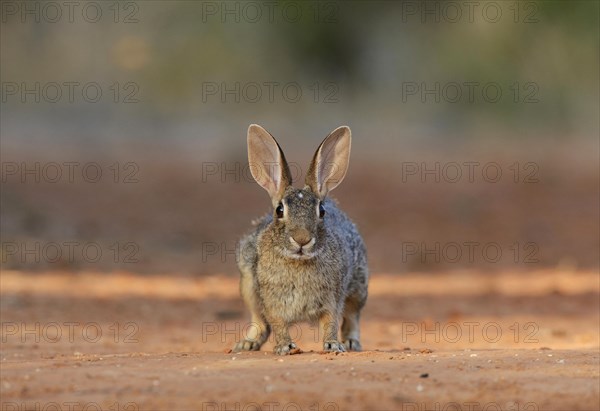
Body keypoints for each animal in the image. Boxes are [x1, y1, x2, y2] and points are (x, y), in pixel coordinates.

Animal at [233, 124, 366, 356]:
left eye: (322, 211)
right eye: (279, 210)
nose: (302, 240)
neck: (299, 261)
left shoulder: (332, 299)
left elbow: (330, 321)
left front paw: (333, 345)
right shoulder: (271, 302)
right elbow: (277, 324)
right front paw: (286, 347)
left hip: (358, 287)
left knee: (352, 316)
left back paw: (351, 343)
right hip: (248, 286)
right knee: (259, 322)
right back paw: (247, 344)